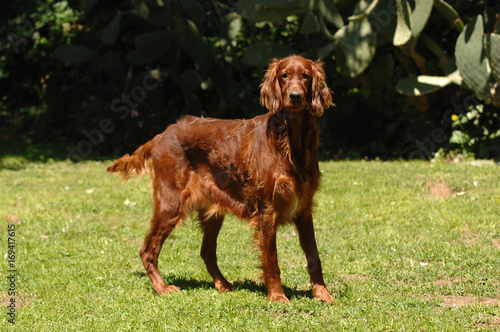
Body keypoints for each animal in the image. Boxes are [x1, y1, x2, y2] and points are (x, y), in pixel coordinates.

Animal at [110, 55, 336, 304]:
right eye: (284, 75)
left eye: (305, 76)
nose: (295, 96)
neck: (290, 140)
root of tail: (160, 135)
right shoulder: (267, 209)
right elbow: (272, 258)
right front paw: (277, 296)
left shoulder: (304, 209)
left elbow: (314, 255)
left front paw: (322, 293)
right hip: (171, 205)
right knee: (148, 250)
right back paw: (162, 287)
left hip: (212, 211)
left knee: (206, 252)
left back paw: (222, 284)